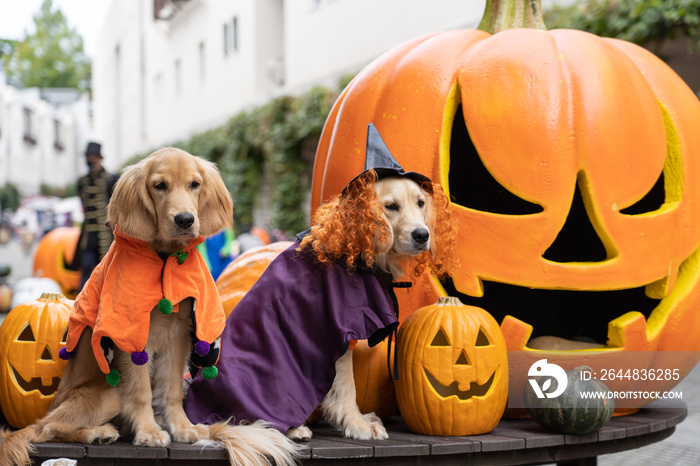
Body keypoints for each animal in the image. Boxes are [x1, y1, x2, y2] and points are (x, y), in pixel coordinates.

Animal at [0, 148, 298, 466]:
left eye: (194, 184)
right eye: (160, 186)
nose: (185, 220)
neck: (164, 257)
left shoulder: (179, 334)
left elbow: (172, 390)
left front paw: (182, 428)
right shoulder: (131, 336)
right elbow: (141, 390)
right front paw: (149, 432)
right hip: (107, 394)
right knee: (45, 428)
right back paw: (97, 433)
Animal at [183, 124, 456, 440]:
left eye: (421, 203)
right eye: (390, 206)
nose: (422, 235)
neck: (356, 252)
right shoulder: (338, 332)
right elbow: (347, 386)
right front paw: (357, 425)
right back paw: (294, 427)